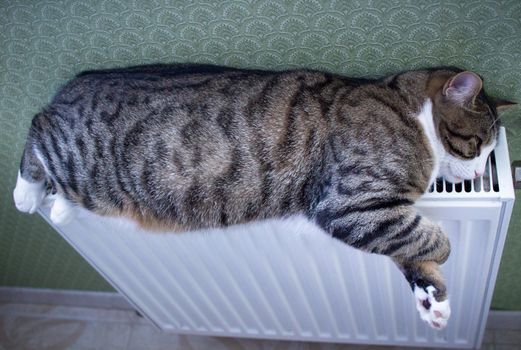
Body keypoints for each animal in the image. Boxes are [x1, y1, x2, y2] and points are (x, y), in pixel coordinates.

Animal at [13, 63, 516, 328]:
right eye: (478, 144)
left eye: (490, 151)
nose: (477, 174)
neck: (409, 113)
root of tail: (76, 83)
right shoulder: (349, 201)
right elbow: (430, 238)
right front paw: (440, 256)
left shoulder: (380, 211)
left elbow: (406, 246)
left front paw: (430, 296)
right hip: (80, 158)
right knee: (37, 128)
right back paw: (27, 193)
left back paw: (59, 206)